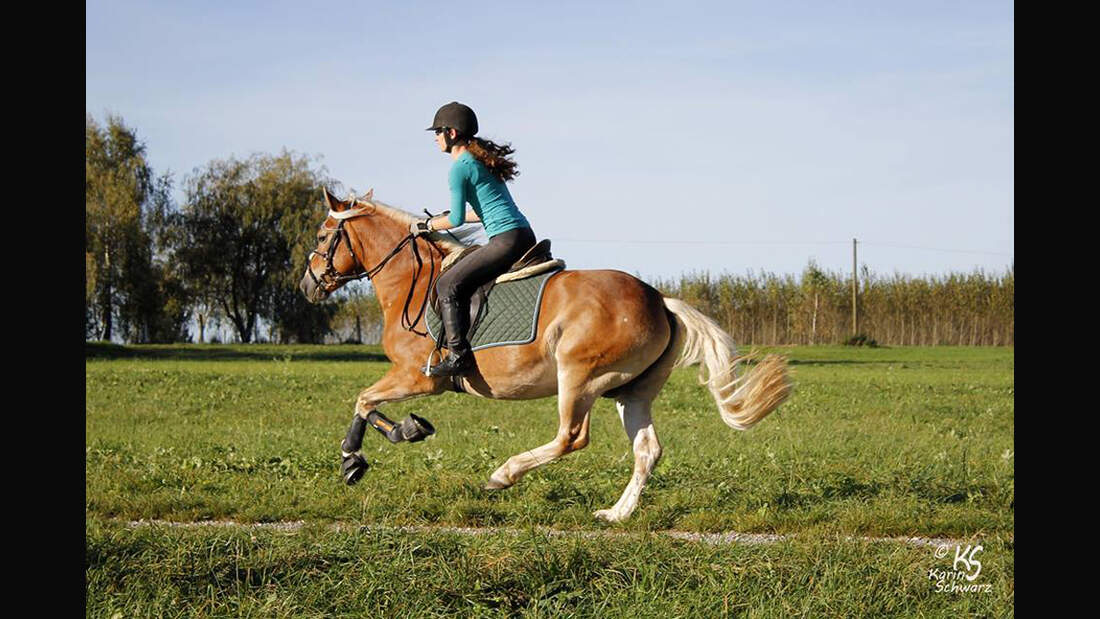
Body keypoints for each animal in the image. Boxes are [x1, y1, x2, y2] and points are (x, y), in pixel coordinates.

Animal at [297, 189, 787, 523]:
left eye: (322, 235)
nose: (306, 286)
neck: (411, 282)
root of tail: (659, 299)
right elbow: (366, 401)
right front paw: (393, 438)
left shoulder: (419, 377)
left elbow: (364, 399)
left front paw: (364, 453)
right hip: (632, 392)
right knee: (647, 449)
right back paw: (616, 514)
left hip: (579, 377)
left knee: (572, 437)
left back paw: (504, 474)